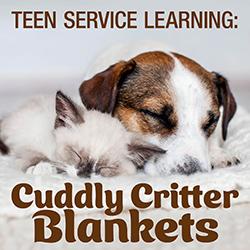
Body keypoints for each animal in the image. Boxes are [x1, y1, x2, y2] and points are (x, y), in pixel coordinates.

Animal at [0, 91, 166, 177]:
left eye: (105, 167)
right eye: (77, 155)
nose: (85, 173)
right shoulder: (29, 143)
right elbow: (35, 156)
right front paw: (41, 168)